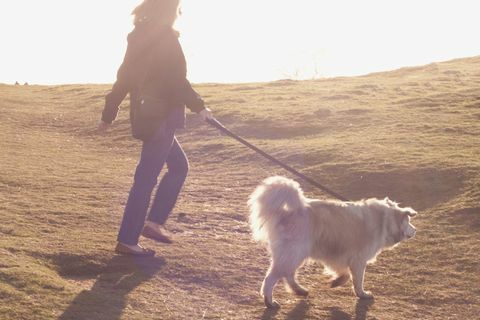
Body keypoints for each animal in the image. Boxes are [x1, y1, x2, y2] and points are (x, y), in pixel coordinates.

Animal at [248, 175, 416, 308]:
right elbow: (357, 280)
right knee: (271, 279)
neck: (384, 220)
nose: (415, 230)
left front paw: (336, 281)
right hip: (293, 254)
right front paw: (361, 294)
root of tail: (287, 213)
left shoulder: (338, 257)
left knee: (288, 275)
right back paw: (270, 301)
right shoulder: (358, 260)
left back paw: (299, 290)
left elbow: (345, 274)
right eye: (409, 221)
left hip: (295, 255)